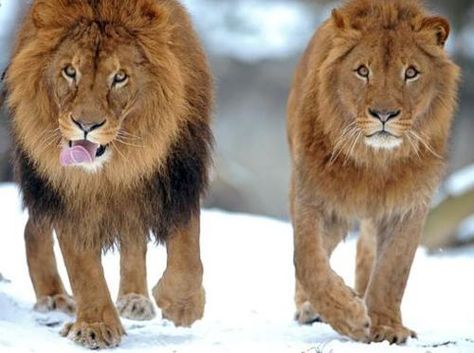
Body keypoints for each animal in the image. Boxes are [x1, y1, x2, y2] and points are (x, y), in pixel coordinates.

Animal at [5, 0, 212, 346]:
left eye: (119, 77)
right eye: (70, 71)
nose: (86, 125)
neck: (111, 169)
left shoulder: (178, 175)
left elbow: (187, 247)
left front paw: (182, 304)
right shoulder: (66, 193)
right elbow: (84, 268)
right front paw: (96, 326)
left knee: (133, 236)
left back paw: (135, 299)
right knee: (33, 228)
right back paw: (53, 297)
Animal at [286, 0, 462, 344]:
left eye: (411, 73)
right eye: (363, 71)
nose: (384, 114)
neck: (374, 163)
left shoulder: (408, 206)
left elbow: (393, 270)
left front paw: (386, 325)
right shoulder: (313, 195)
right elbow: (307, 260)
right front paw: (349, 316)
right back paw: (310, 308)